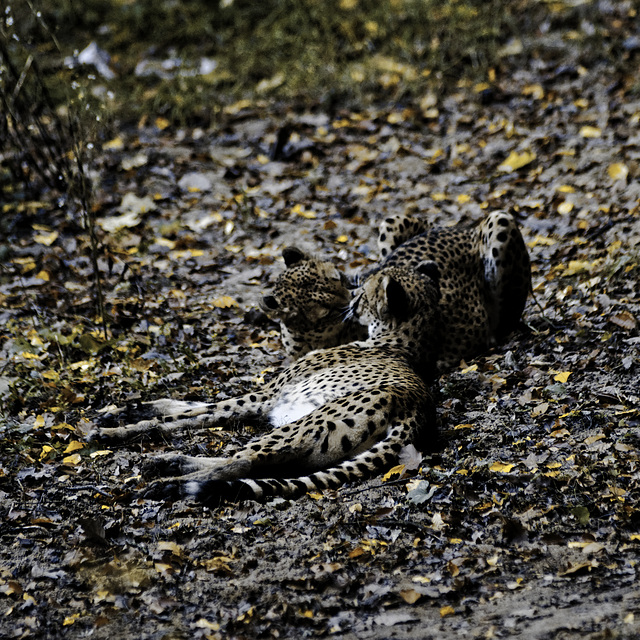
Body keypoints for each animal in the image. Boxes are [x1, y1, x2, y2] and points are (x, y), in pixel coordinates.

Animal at [95, 260, 442, 504]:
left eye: (366, 293)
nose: (353, 294)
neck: (398, 342)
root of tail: (417, 411)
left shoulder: (267, 397)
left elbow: (190, 414)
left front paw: (116, 431)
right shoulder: (267, 398)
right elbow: (189, 407)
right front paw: (126, 412)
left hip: (302, 425)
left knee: (240, 462)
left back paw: (168, 482)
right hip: (316, 446)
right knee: (252, 461)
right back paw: (169, 464)